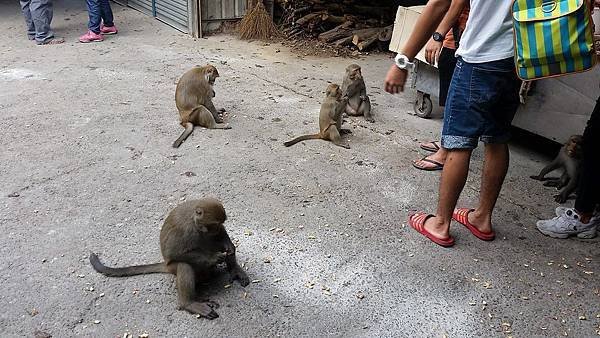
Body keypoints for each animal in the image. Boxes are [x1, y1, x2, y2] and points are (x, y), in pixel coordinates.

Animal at [88, 198, 248, 320]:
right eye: (214, 224)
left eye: (221, 223)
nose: (218, 228)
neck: (194, 220)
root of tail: (165, 265)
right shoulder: (186, 230)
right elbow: (174, 252)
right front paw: (214, 257)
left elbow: (222, 240)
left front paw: (229, 246)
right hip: (173, 267)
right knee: (184, 265)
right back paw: (189, 304)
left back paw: (235, 270)